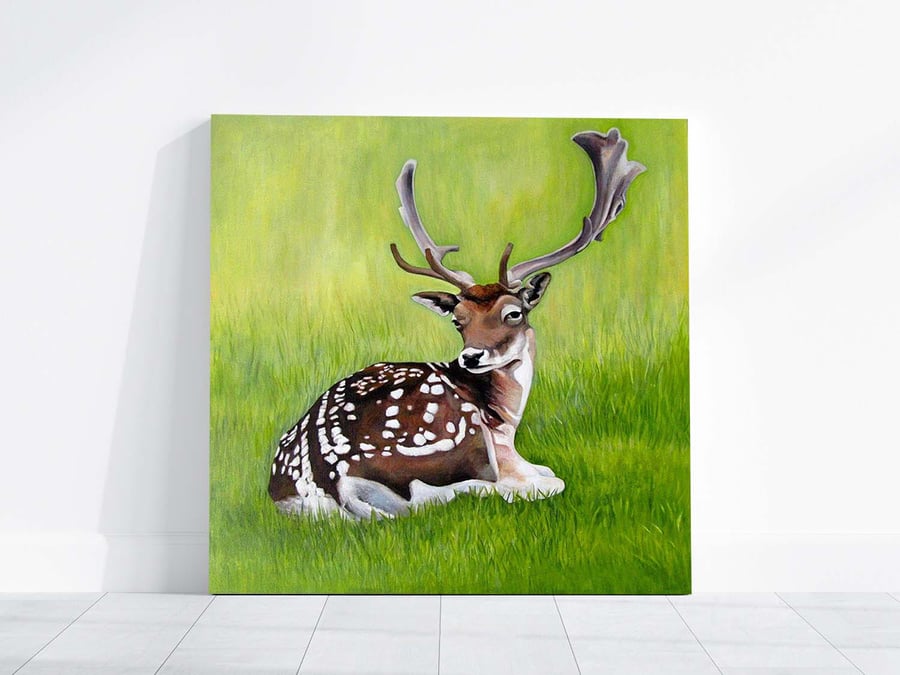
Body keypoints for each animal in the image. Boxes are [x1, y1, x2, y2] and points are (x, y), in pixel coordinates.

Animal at [267, 128, 645, 519]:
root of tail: (331, 481)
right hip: (457, 438)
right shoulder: (500, 451)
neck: (506, 419)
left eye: (514, 313)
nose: (471, 358)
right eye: (458, 320)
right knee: (439, 494)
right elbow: (549, 478)